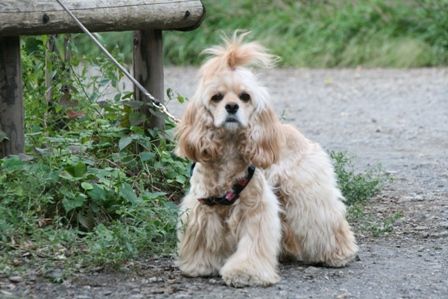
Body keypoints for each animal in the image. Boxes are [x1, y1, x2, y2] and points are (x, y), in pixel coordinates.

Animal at [173, 32, 358, 288]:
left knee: (326, 221)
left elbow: (253, 243)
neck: (229, 150)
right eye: (216, 97)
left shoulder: (255, 209)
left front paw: (245, 272)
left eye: (245, 96)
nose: (232, 107)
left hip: (305, 193)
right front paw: (199, 265)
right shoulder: (204, 207)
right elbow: (203, 237)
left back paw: (338, 254)